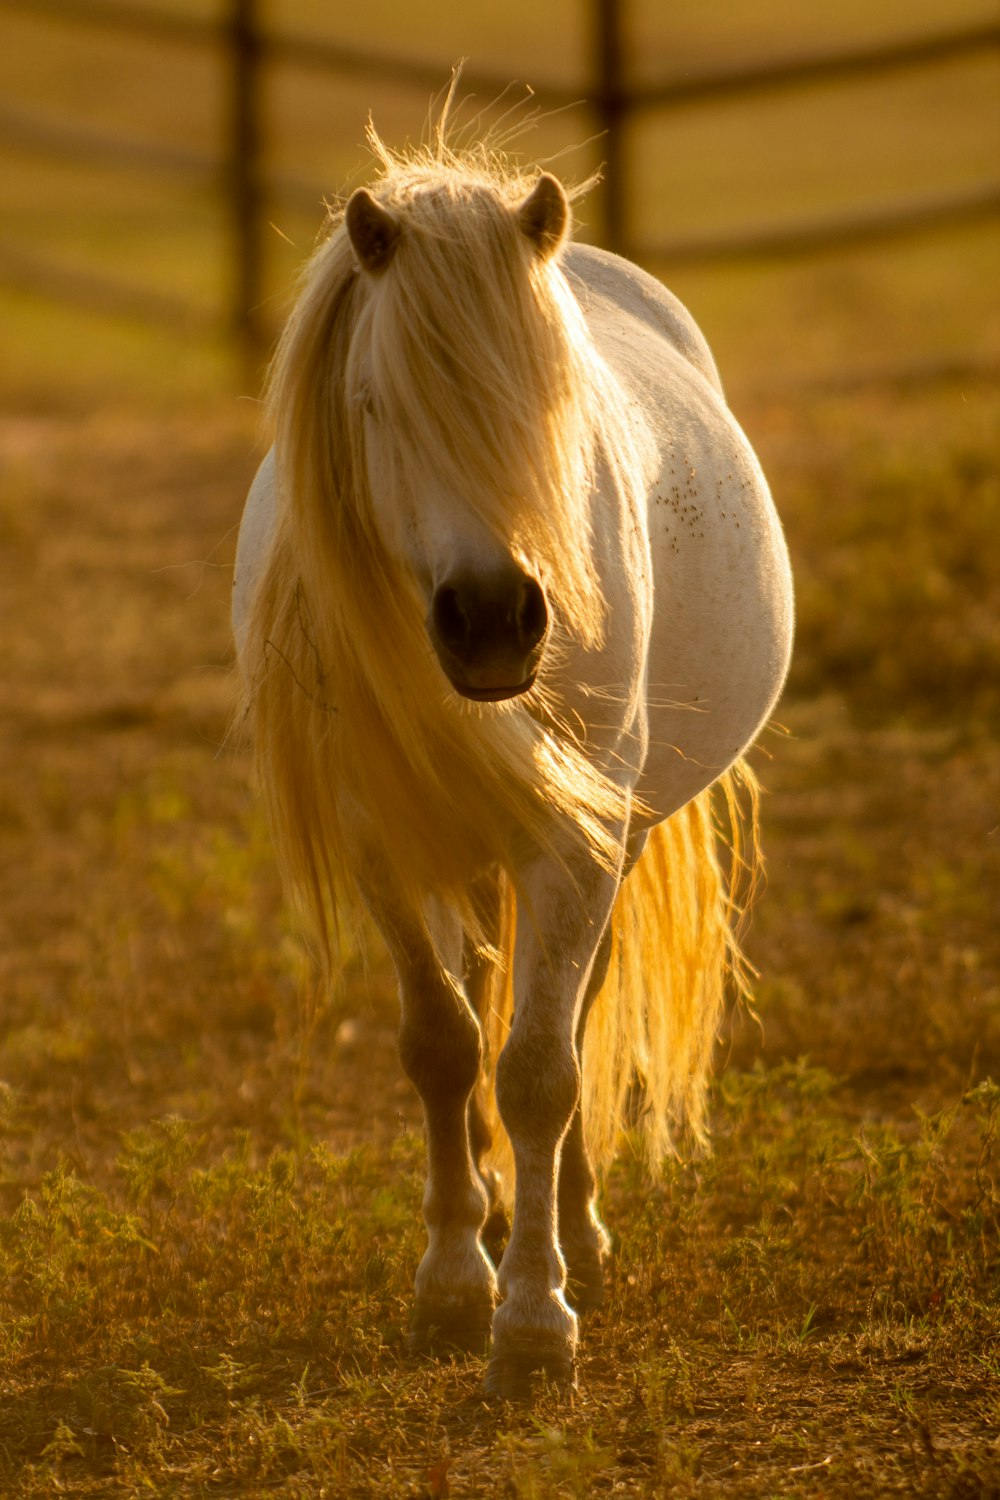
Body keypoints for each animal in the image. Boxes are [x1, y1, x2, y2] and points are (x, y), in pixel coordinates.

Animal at [230, 135, 791, 1398]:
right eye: (374, 406)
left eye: (554, 400)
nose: (493, 621)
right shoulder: (382, 837)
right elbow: (443, 1048)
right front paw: (451, 1281)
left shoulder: (572, 844)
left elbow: (540, 1068)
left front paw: (535, 1321)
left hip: (609, 841)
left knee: (573, 1016)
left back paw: (572, 1229)